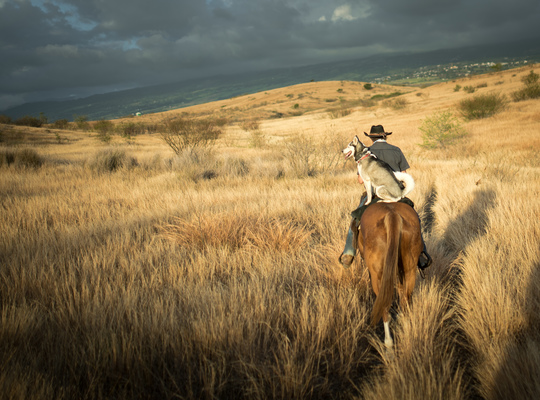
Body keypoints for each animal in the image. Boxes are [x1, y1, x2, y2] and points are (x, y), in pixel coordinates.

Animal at [352, 202, 424, 348]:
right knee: (405, 298)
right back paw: (405, 328)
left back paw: (388, 343)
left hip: (378, 277)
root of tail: (392, 214)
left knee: (384, 306)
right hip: (410, 270)